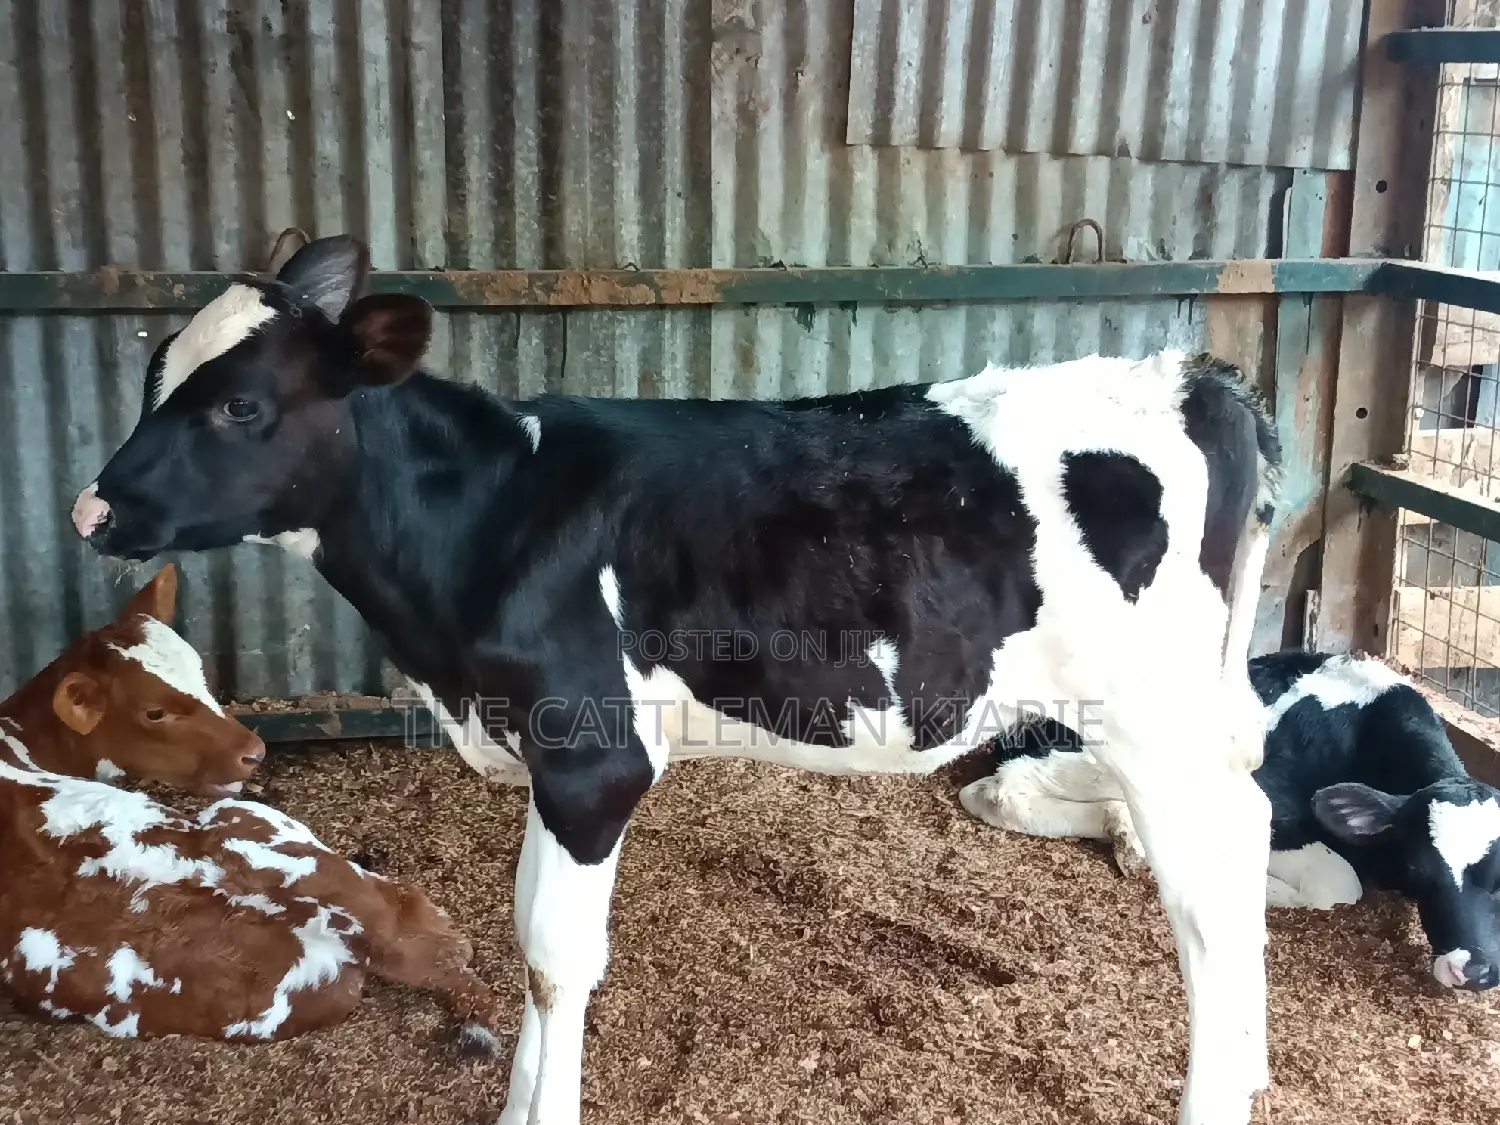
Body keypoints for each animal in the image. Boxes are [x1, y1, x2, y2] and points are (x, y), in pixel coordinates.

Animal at [71, 234, 1281, 1125]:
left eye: (239, 405)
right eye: (153, 372)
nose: (91, 510)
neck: (492, 519)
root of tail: (1192, 378)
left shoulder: (594, 757)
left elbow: (560, 959)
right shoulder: (546, 758)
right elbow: (527, 936)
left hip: (1152, 722)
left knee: (1212, 894)